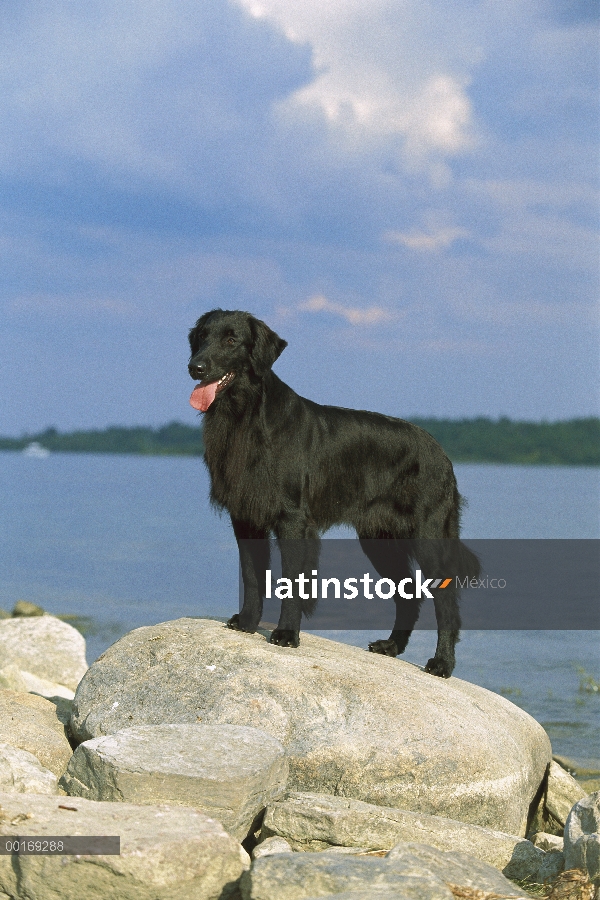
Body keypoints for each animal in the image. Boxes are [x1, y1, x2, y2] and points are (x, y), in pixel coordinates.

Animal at [188, 310, 478, 676]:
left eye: (231, 339)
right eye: (201, 337)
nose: (195, 367)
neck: (247, 418)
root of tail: (442, 454)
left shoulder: (293, 519)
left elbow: (292, 581)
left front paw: (286, 634)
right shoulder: (245, 517)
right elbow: (252, 577)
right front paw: (247, 623)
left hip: (428, 536)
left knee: (445, 601)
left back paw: (441, 663)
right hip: (379, 540)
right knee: (410, 595)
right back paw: (391, 646)